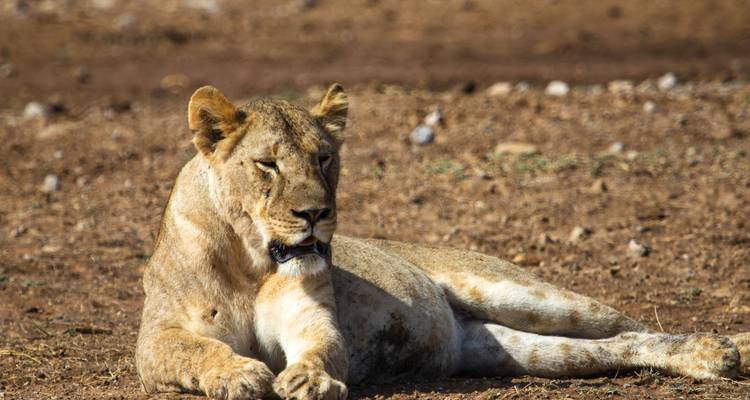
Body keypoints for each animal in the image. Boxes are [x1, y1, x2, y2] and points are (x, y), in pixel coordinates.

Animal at [135, 84, 750, 400]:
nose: (316, 214)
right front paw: (237, 373)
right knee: (613, 347)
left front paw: (308, 378)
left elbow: (322, 346)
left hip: (519, 291)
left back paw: (724, 348)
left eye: (324, 158)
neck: (251, 259)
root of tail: (458, 331)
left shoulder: (313, 318)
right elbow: (196, 348)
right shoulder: (156, 337)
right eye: (267, 164)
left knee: (630, 325)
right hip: (515, 350)